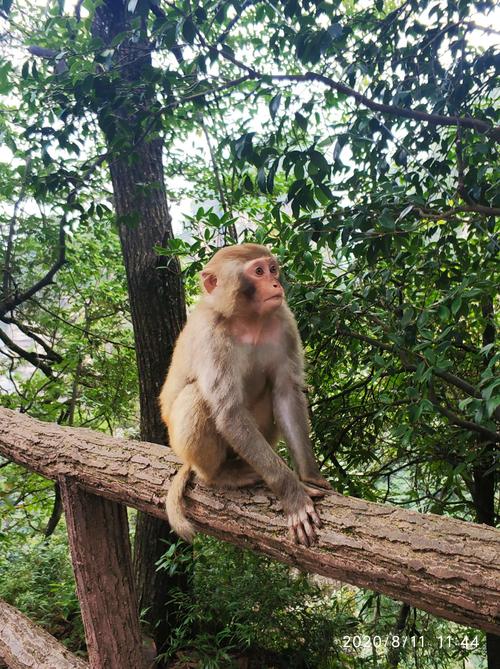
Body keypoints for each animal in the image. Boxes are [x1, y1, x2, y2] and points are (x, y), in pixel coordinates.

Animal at [160, 243, 332, 544]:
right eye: (258, 272)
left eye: (273, 269)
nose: (275, 283)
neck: (246, 320)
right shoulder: (211, 335)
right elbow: (229, 413)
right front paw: (294, 495)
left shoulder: (283, 320)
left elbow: (286, 394)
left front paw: (310, 476)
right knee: (196, 397)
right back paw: (220, 475)